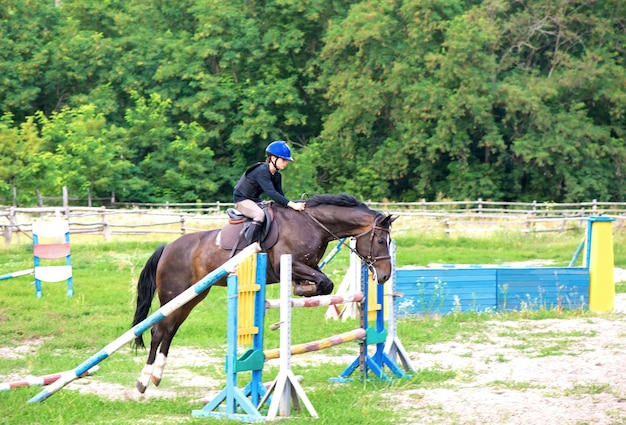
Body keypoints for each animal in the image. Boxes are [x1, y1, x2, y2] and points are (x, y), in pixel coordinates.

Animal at [130, 194, 394, 392]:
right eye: (381, 241)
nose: (384, 277)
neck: (311, 223)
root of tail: (167, 247)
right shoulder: (289, 263)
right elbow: (323, 282)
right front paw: (302, 288)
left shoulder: (310, 265)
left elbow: (324, 284)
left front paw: (304, 289)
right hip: (174, 294)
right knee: (158, 331)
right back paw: (143, 380)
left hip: (192, 297)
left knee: (170, 331)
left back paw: (157, 376)